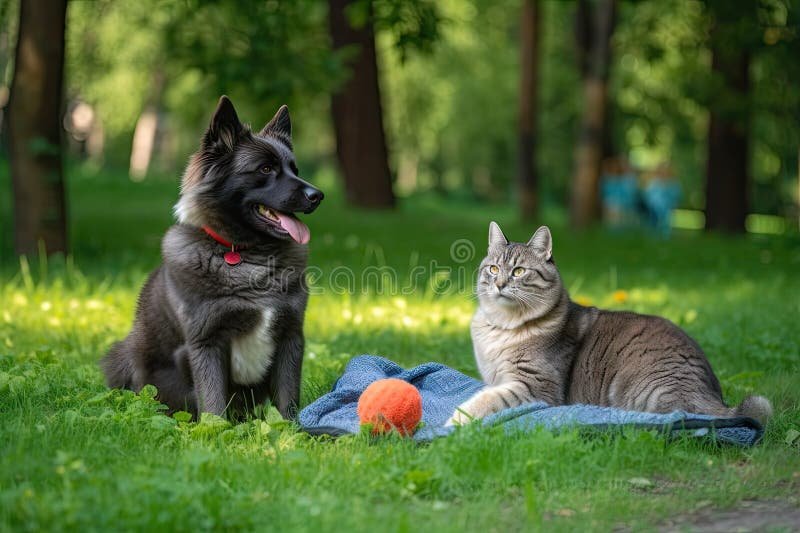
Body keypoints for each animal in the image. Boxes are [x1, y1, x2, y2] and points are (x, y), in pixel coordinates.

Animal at [101, 95, 324, 420]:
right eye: (265, 169)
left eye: (294, 168)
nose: (317, 195)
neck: (243, 255)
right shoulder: (206, 343)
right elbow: (214, 402)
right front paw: (216, 429)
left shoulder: (290, 335)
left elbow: (287, 399)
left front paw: (293, 429)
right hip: (122, 355)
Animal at [446, 222, 772, 426]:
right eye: (493, 268)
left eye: (518, 271)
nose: (499, 283)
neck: (502, 326)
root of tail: (714, 396)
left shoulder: (532, 387)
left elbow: (481, 402)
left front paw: (453, 422)